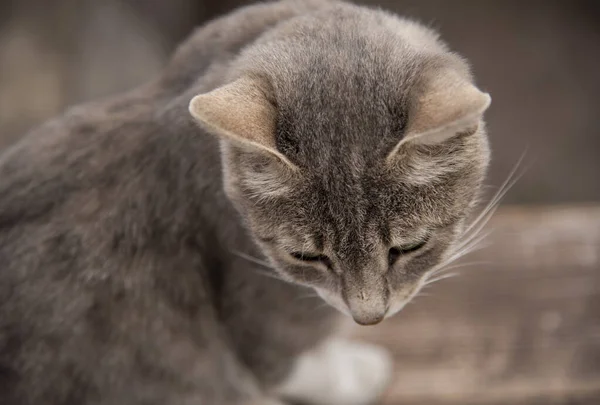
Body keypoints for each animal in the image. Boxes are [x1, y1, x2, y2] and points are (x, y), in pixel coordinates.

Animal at [0, 0, 492, 404]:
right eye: (305, 256)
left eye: (408, 247)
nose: (369, 318)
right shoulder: (261, 315)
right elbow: (296, 366)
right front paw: (356, 371)